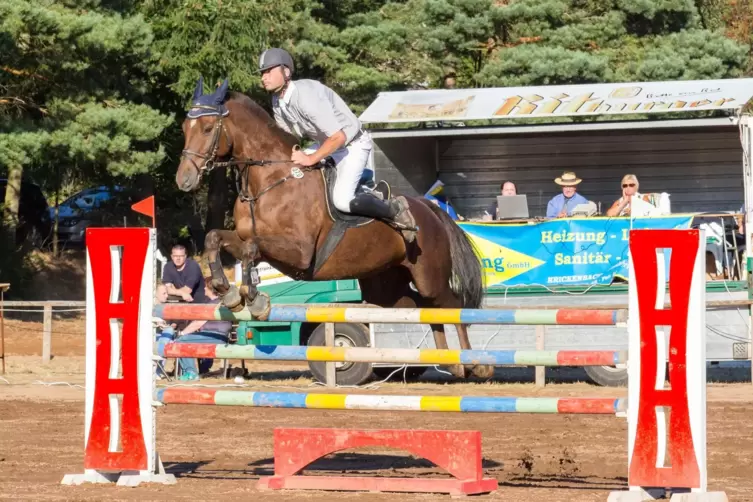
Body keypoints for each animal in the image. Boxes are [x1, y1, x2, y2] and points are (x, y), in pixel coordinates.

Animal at [177, 76, 494, 378]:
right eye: (184, 128)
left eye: (207, 128)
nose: (184, 180)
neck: (269, 180)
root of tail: (429, 208)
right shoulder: (244, 237)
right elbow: (215, 238)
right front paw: (228, 291)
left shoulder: (299, 254)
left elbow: (251, 249)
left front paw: (254, 300)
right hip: (387, 288)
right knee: (426, 310)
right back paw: (450, 362)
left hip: (430, 277)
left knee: (453, 307)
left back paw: (475, 364)